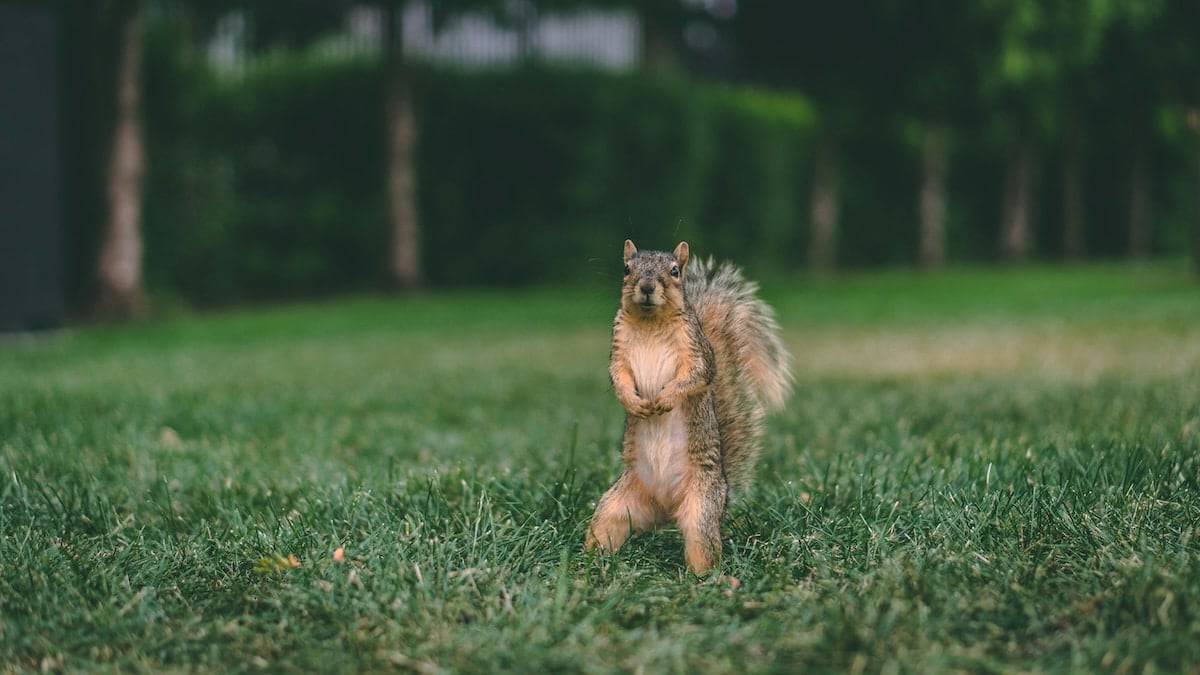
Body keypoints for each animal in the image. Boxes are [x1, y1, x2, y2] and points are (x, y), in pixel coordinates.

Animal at [585, 239, 793, 574]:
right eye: (626, 268)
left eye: (674, 271)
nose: (646, 287)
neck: (650, 322)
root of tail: (665, 508)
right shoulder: (618, 350)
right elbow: (618, 378)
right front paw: (634, 402)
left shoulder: (696, 350)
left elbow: (697, 375)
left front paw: (665, 399)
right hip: (616, 506)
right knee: (605, 526)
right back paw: (589, 562)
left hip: (701, 506)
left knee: (701, 543)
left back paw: (705, 577)